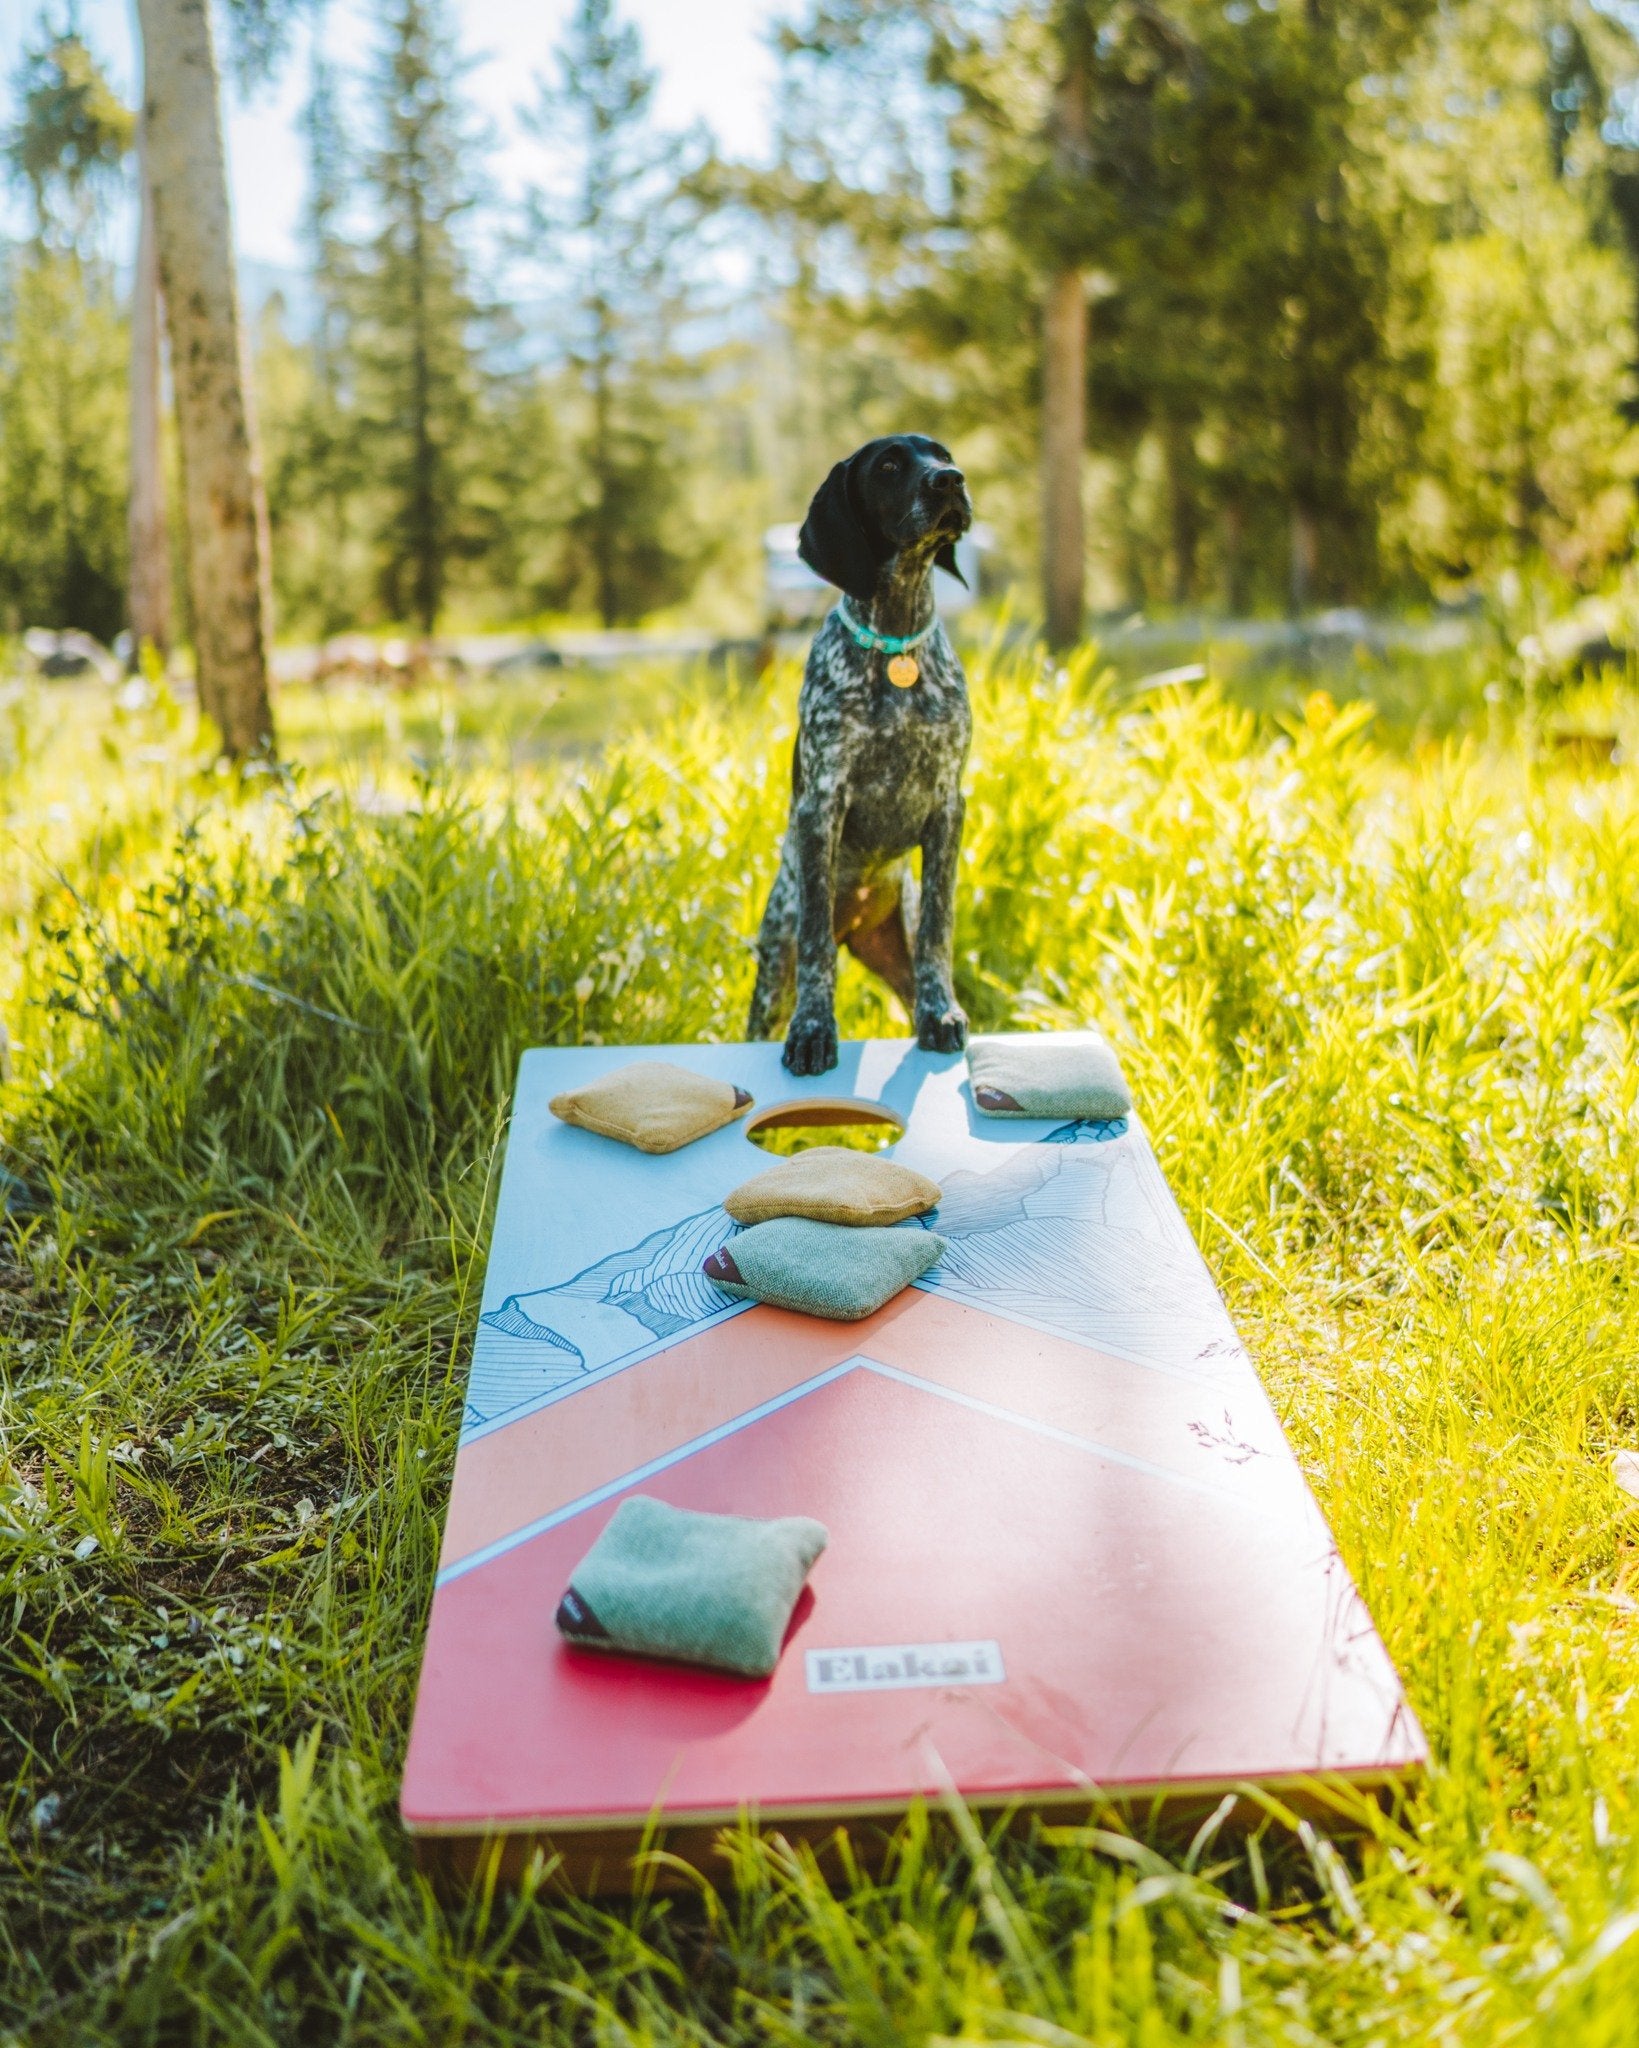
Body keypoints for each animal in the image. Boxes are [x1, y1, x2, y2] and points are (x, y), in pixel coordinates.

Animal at [753, 440, 975, 1081]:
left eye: (943, 454)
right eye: (889, 467)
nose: (952, 480)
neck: (896, 642)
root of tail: (854, 923)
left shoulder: (948, 806)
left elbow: (938, 928)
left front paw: (942, 1012)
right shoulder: (822, 802)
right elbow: (816, 951)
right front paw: (813, 1031)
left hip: (893, 951)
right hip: (774, 962)